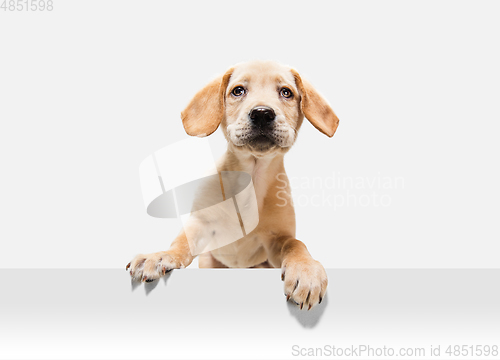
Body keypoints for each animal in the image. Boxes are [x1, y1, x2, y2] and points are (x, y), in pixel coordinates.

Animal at [127, 59, 342, 310]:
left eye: (286, 92)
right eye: (238, 91)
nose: (262, 113)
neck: (251, 177)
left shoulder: (276, 240)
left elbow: (295, 244)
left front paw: (306, 271)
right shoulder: (201, 224)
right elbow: (181, 242)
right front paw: (160, 256)